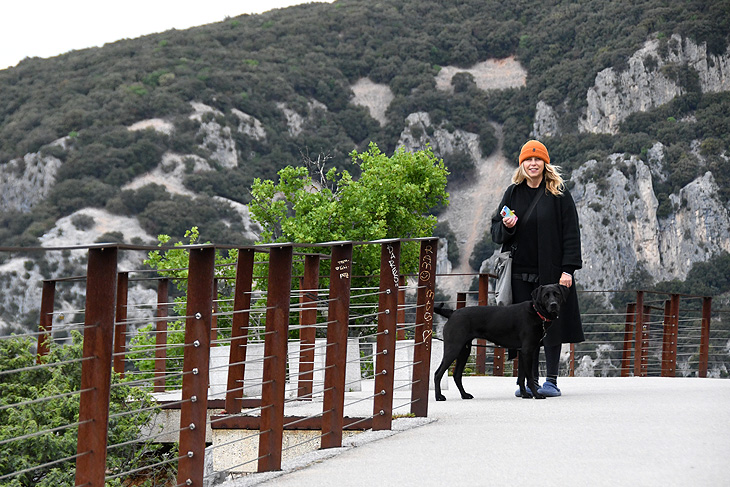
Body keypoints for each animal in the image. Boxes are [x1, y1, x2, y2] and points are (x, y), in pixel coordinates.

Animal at [432, 286, 568, 400]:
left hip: (464, 350)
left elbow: (521, 377)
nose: (553, 304)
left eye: (557, 294)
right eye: (546, 296)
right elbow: (529, 377)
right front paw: (536, 395)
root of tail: (452, 313)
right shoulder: (528, 351)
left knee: (456, 375)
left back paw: (464, 395)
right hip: (453, 348)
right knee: (438, 373)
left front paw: (524, 395)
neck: (536, 312)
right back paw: (439, 396)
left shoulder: (522, 352)